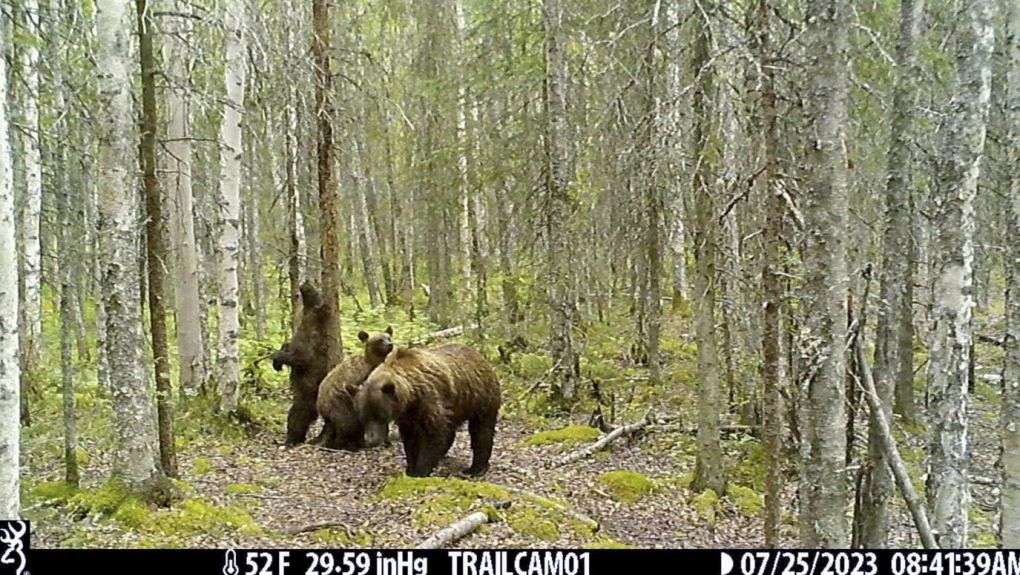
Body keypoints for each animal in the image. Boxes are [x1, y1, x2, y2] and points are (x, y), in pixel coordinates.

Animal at [269, 281, 336, 446]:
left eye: (316, 291)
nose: (306, 281)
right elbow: (287, 345)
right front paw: (276, 363)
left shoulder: (310, 344)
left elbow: (302, 358)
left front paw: (276, 356)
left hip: (308, 397)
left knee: (298, 415)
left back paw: (291, 440)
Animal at [352, 344, 503, 479]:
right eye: (363, 417)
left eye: (379, 415)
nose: (370, 440)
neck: (411, 396)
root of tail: (479, 356)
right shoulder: (408, 415)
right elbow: (411, 439)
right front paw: (411, 468)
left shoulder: (429, 401)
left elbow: (433, 435)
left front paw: (420, 470)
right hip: (456, 406)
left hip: (480, 398)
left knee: (482, 431)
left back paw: (475, 469)